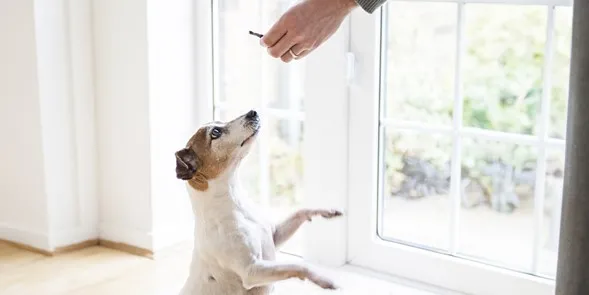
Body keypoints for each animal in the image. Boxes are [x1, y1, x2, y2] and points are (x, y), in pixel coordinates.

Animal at [175, 110, 340, 294]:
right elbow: (297, 266)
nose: (252, 112)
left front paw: (326, 212)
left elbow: (300, 211)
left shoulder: (275, 237)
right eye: (215, 133)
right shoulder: (252, 271)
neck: (236, 204)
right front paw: (322, 278)